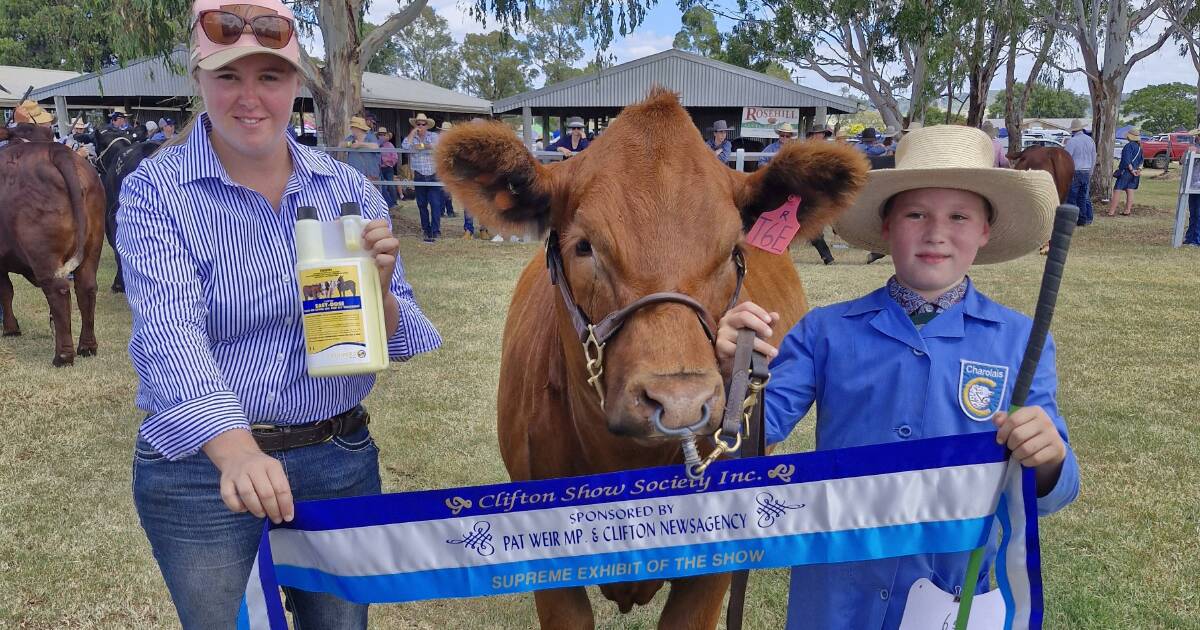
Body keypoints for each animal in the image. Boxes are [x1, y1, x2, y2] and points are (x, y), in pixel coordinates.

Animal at [0, 137, 108, 362]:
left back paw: (63, 356)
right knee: (86, 288)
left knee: (58, 291)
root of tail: (55, 150)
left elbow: (5, 291)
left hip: (43, 253)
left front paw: (11, 329)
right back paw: (87, 347)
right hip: (93, 247)